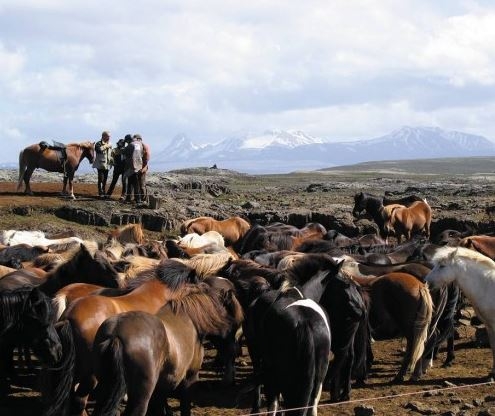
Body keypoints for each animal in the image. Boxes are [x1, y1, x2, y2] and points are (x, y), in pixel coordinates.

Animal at [424, 247, 495, 380]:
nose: (425, 281)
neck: (487, 286)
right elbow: (493, 347)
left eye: (442, 266)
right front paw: (492, 374)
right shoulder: (489, 326)